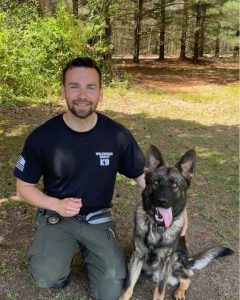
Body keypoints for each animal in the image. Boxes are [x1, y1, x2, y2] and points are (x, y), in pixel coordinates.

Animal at [121, 145, 233, 300]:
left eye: (174, 185)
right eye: (156, 182)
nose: (162, 201)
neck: (157, 228)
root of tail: (187, 261)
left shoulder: (167, 261)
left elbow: (159, 290)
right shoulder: (137, 256)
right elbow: (128, 286)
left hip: (176, 261)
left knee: (188, 276)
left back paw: (180, 291)